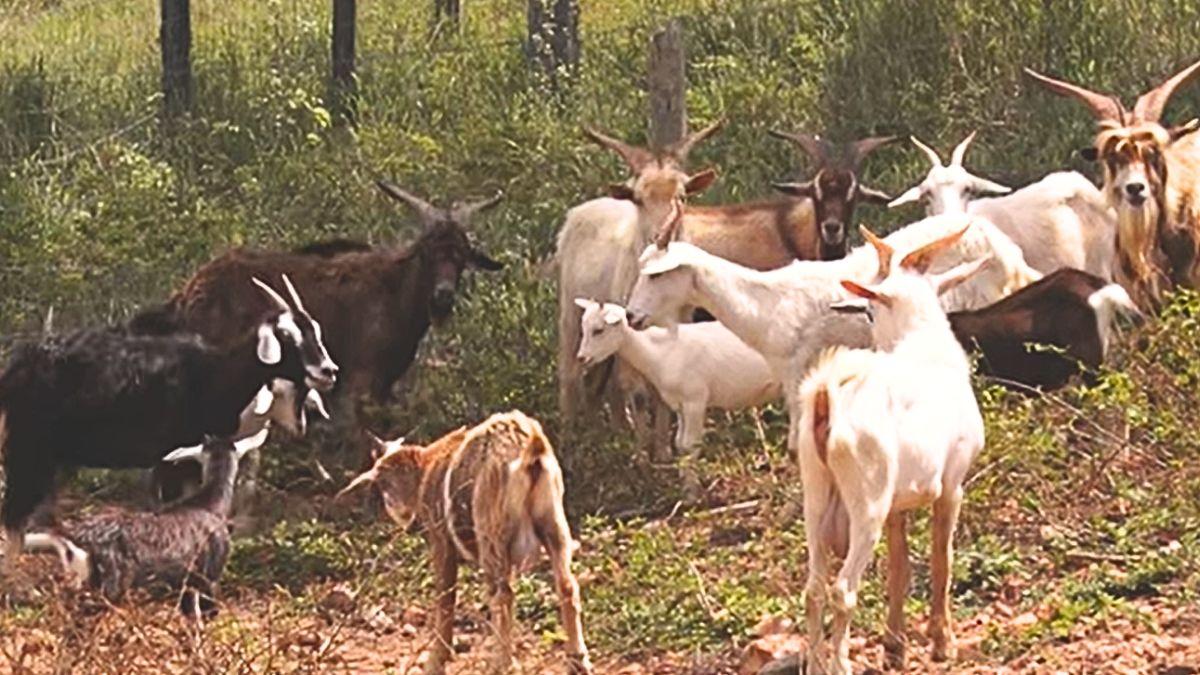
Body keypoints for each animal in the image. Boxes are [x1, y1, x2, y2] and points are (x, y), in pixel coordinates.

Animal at [0, 275, 336, 576]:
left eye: (316, 331)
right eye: (285, 335)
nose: (328, 371)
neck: (215, 376)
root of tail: (16, 369)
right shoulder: (174, 456)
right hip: (28, 448)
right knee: (14, 520)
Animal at [128, 181, 503, 446]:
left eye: (462, 256)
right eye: (427, 253)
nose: (442, 297)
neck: (398, 296)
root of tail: (186, 294)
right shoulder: (357, 382)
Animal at [337, 412, 591, 675]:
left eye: (382, 485)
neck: (423, 473)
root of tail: (531, 448)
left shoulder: (441, 542)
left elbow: (445, 599)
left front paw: (436, 659)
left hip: (492, 533)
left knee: (503, 594)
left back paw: (501, 663)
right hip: (554, 525)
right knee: (567, 586)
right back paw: (577, 660)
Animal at [574, 298, 781, 457]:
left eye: (599, 330)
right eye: (584, 327)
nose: (582, 358)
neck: (660, 349)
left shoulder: (695, 401)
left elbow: (691, 445)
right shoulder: (679, 403)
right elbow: (680, 443)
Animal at [794, 241, 987, 674]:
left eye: (869, 309)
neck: (925, 347)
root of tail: (827, 395)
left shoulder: (897, 505)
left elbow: (899, 568)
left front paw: (895, 648)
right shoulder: (952, 484)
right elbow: (942, 559)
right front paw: (942, 643)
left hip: (816, 496)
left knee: (814, 589)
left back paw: (816, 665)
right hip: (866, 505)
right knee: (842, 590)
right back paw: (841, 664)